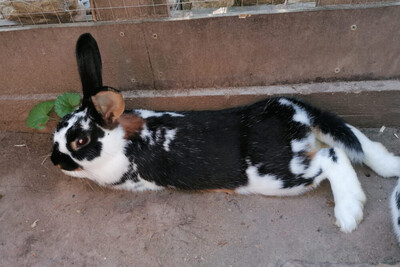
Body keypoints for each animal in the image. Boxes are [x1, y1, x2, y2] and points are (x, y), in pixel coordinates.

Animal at [51, 33, 400, 239]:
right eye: (58, 129)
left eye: (80, 141)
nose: (55, 160)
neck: (124, 140)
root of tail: (295, 113)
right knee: (351, 140)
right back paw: (390, 166)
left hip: (280, 176)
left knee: (333, 156)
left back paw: (349, 212)